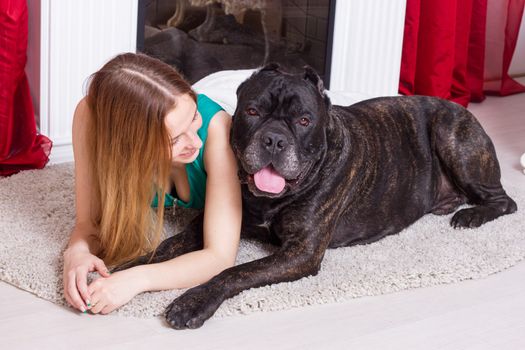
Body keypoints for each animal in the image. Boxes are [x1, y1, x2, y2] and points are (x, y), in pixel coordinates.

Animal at [115, 64, 516, 330]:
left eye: (304, 121)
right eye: (253, 111)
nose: (274, 139)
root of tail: (460, 109)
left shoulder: (300, 253)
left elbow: (233, 272)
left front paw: (192, 301)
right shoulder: (206, 227)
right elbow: (166, 247)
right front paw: (125, 266)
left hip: (452, 136)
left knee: (506, 201)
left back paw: (470, 216)